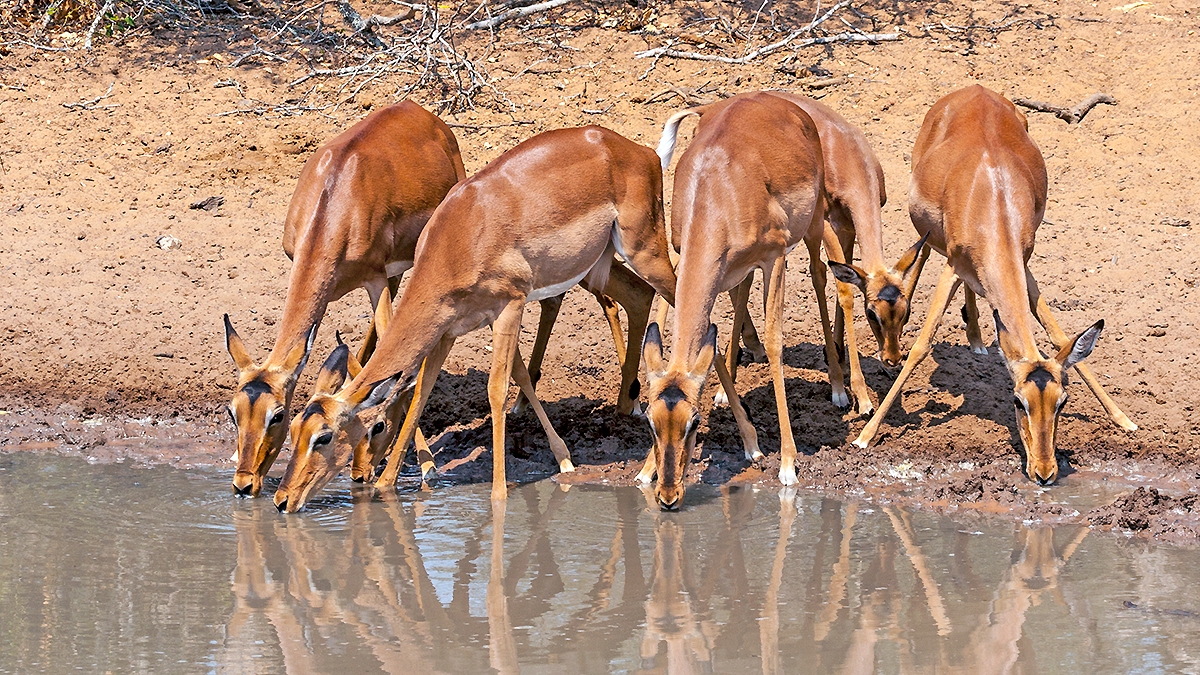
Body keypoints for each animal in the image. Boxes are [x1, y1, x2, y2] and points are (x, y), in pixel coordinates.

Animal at [272, 125, 677, 511]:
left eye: (324, 436)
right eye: (294, 427)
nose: (282, 499)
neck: (461, 237)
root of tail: (640, 151)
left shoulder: (510, 306)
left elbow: (496, 390)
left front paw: (500, 492)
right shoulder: (446, 331)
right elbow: (421, 392)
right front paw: (388, 486)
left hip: (646, 252)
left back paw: (652, 466)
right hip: (602, 265)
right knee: (640, 295)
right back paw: (629, 409)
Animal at [640, 92, 827, 510]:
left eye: (694, 422)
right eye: (650, 421)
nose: (669, 496)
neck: (717, 192)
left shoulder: (775, 257)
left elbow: (775, 343)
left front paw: (786, 464)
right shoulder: (684, 257)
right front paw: (645, 470)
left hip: (810, 227)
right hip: (733, 272)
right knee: (737, 303)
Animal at [852, 85, 1135, 485]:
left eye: (1061, 402)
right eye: (1018, 401)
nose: (1044, 472)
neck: (993, 201)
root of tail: (975, 89)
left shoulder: (1023, 265)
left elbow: (1060, 336)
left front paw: (1124, 419)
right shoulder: (953, 267)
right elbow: (922, 345)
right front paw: (865, 433)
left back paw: (976, 339)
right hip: (932, 237)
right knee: (920, 258)